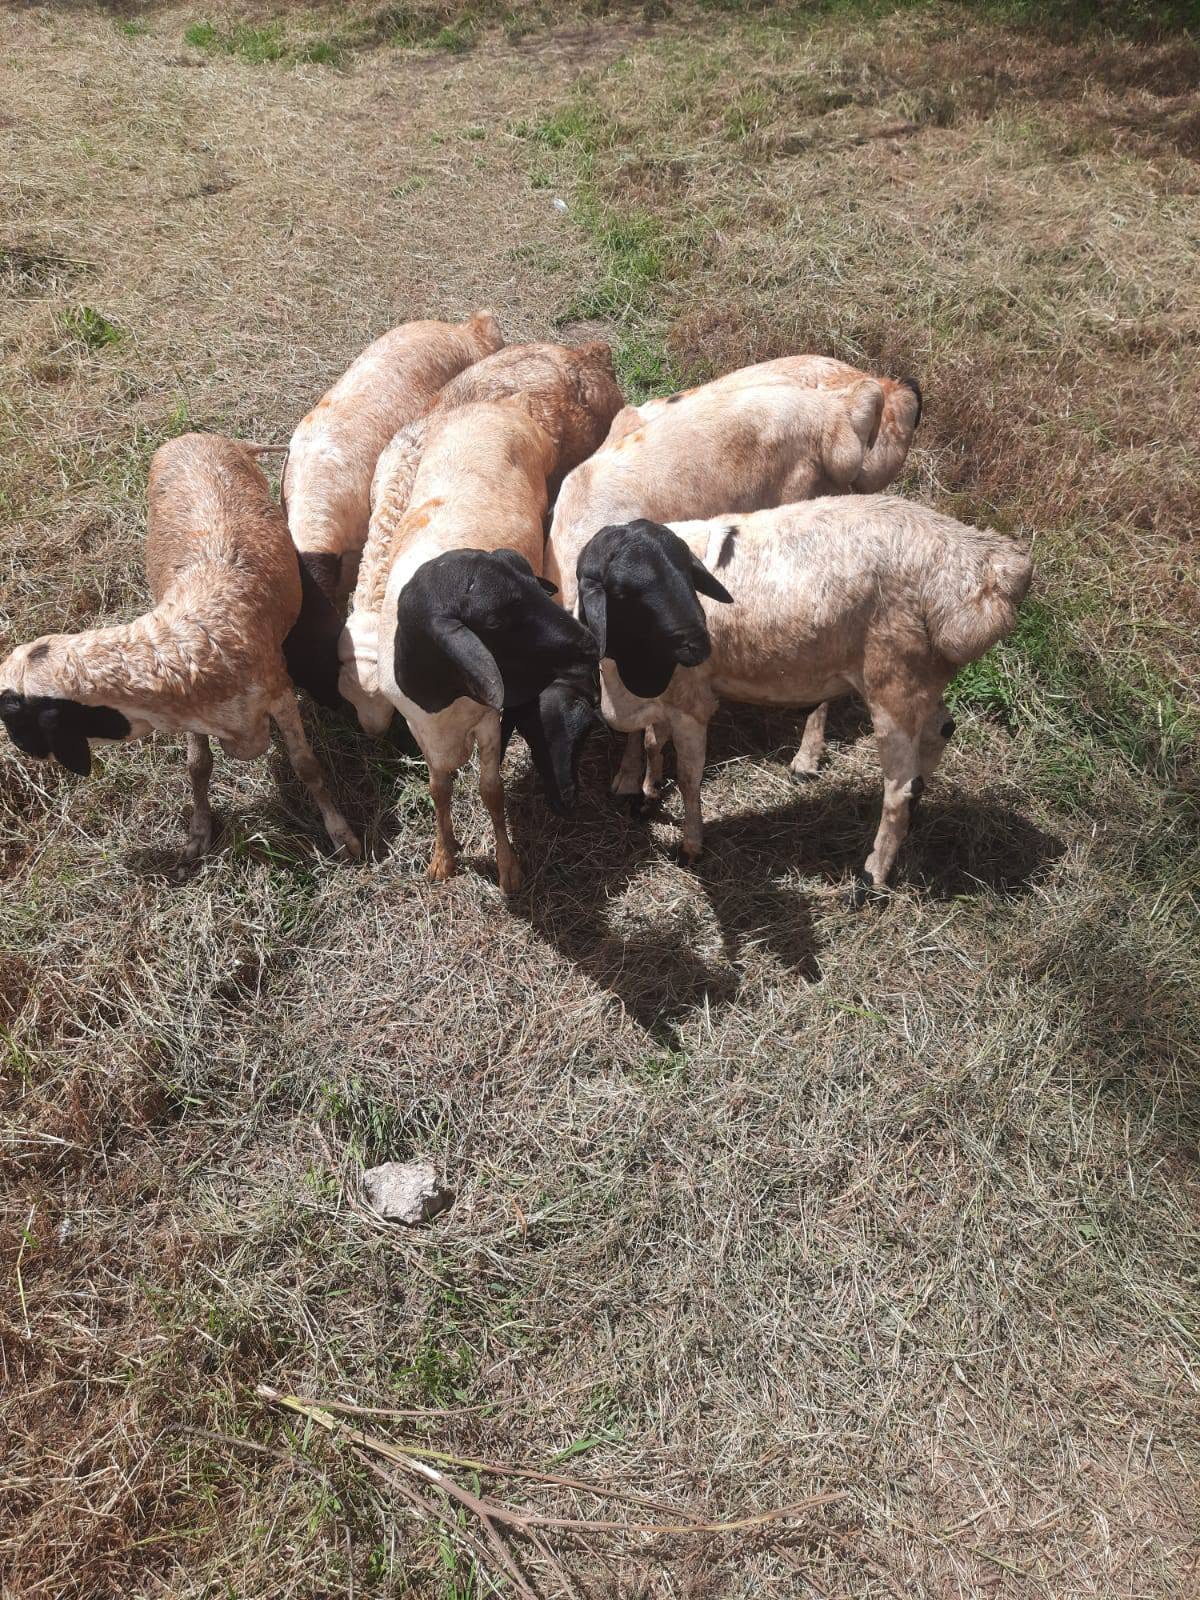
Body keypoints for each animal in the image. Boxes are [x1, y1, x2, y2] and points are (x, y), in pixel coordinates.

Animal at [0, 433, 359, 865]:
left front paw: (342, 834)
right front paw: (198, 833)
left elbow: (307, 766)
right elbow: (198, 766)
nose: (24, 751)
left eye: (14, 714)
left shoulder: (279, 692)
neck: (176, 642)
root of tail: (194, 436)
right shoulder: (190, 715)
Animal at [571, 498, 1032, 896]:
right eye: (626, 592)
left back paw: (872, 876)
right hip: (921, 678)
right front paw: (648, 795)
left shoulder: (692, 703)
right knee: (939, 734)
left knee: (899, 788)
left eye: (687, 578)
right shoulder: (668, 696)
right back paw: (915, 815)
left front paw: (690, 845)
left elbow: (688, 777)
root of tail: (990, 566)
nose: (697, 644)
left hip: (892, 682)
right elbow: (653, 742)